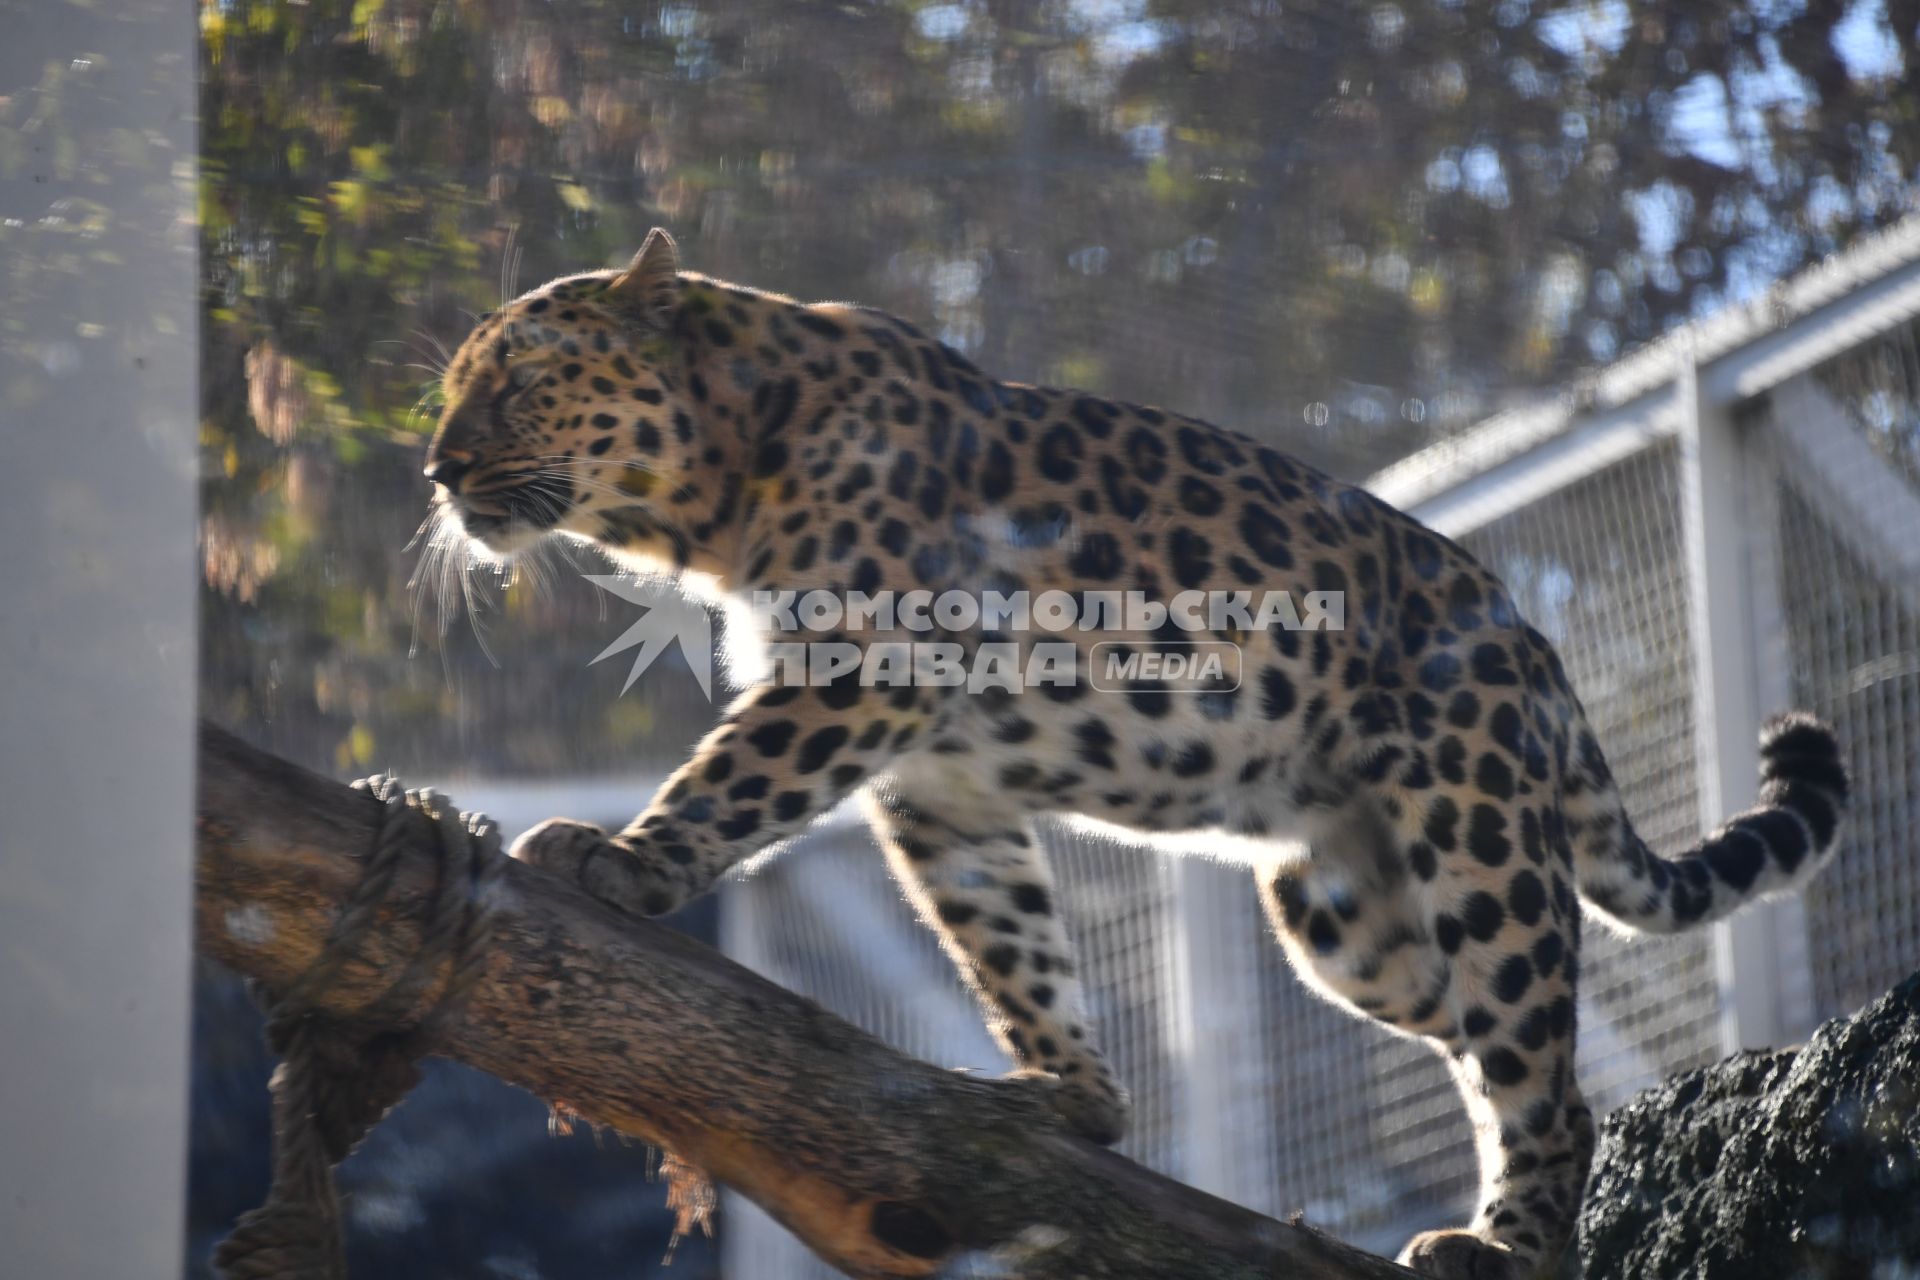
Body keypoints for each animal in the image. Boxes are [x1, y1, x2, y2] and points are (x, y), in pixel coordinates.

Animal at [428, 233, 1850, 1280]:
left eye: (517, 381)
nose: (438, 469)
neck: (721, 492)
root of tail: (1540, 655)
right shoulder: (943, 785)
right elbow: (1006, 939)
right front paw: (1075, 1095)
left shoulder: (864, 668)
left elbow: (729, 780)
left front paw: (618, 859)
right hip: (1348, 921)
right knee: (1505, 1043)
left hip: (1474, 830)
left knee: (1536, 1061)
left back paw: (1500, 1245)